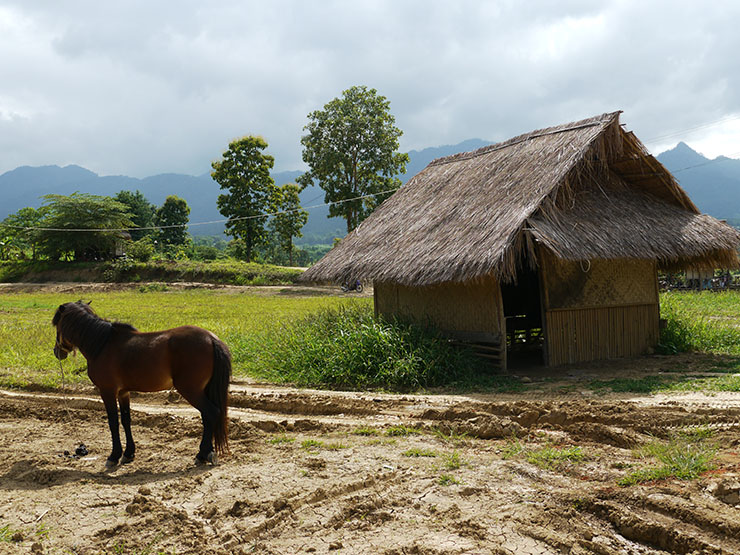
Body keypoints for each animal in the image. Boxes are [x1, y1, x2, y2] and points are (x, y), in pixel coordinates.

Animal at [52, 302, 230, 466]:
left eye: (57, 326)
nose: (57, 352)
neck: (102, 345)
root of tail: (211, 339)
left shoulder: (107, 391)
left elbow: (113, 422)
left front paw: (114, 456)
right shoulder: (123, 392)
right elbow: (126, 420)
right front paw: (128, 453)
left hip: (190, 390)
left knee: (211, 412)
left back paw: (201, 454)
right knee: (207, 417)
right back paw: (207, 452)